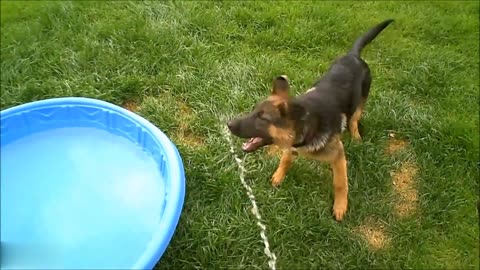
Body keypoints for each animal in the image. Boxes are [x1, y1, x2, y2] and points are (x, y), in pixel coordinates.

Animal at [228, 20, 394, 220]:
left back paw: (356, 135)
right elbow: (286, 159)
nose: (228, 124)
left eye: (262, 118)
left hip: (361, 100)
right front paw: (279, 175)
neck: (307, 128)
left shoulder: (338, 154)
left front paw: (340, 206)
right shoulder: (291, 146)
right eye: (253, 111)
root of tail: (353, 55)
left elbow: (340, 183)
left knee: (354, 118)